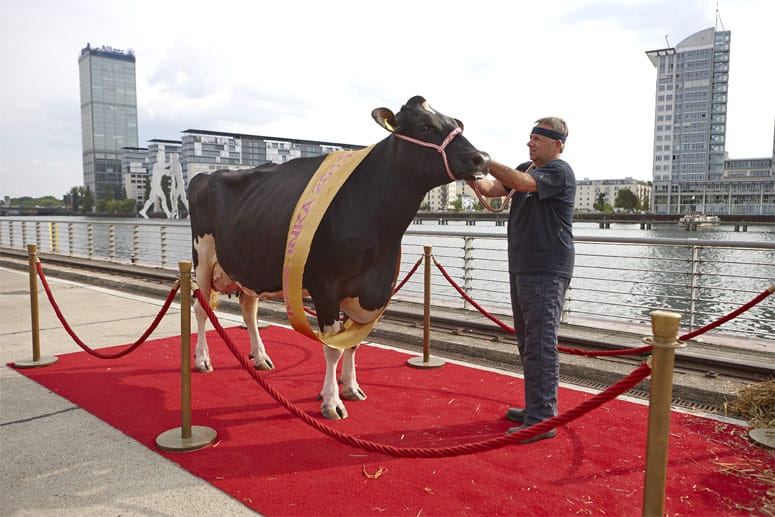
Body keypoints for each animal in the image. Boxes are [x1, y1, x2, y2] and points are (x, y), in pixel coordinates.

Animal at [189, 95, 488, 420]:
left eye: (456, 124)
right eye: (425, 126)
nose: (481, 158)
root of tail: (207, 174)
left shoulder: (371, 286)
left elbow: (353, 343)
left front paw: (351, 388)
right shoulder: (325, 286)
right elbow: (333, 348)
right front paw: (332, 401)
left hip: (247, 264)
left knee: (248, 309)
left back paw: (260, 358)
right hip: (202, 258)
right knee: (201, 308)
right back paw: (203, 360)